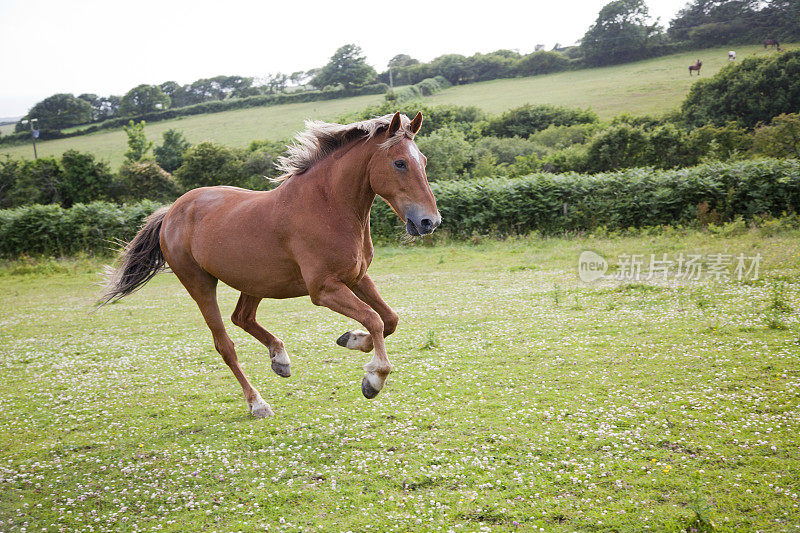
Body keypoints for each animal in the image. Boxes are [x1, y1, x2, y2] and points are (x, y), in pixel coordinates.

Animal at [98, 112, 444, 418]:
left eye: (424, 161)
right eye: (399, 162)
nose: (429, 222)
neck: (327, 206)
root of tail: (171, 211)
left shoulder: (357, 277)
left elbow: (389, 319)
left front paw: (351, 340)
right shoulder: (324, 289)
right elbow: (374, 319)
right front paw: (373, 378)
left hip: (254, 281)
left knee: (242, 317)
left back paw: (280, 359)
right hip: (200, 284)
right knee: (225, 344)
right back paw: (257, 403)